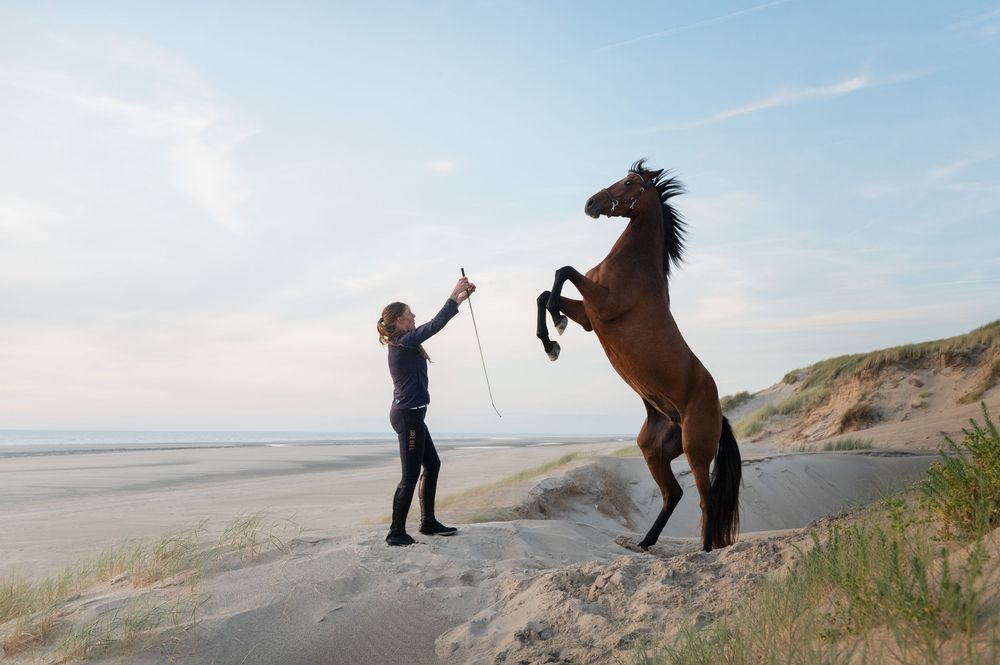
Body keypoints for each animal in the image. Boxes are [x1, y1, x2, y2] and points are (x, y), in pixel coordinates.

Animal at [535, 160, 741, 552]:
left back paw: (704, 550)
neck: (634, 265)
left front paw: (556, 323)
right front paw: (551, 341)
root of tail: (720, 414)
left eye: (630, 182)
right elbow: (544, 292)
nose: (591, 202)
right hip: (653, 450)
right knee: (673, 494)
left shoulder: (601, 304)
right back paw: (646, 542)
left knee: (705, 500)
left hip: (696, 450)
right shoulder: (590, 316)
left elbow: (563, 272)